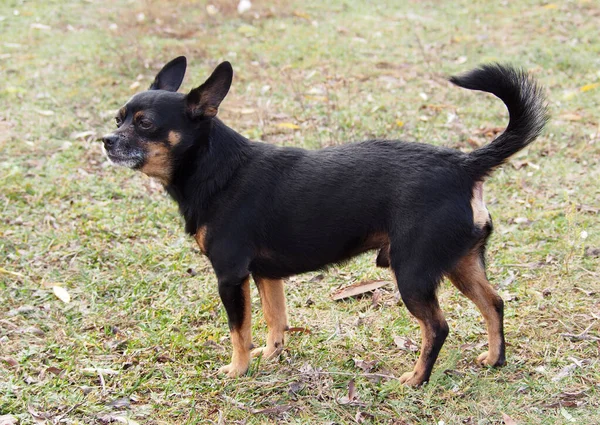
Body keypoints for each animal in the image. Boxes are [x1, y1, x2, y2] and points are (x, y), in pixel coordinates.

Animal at [103, 58, 548, 386]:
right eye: (118, 119)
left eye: (144, 123)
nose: (105, 141)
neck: (215, 168)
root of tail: (463, 164)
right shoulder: (266, 275)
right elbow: (275, 320)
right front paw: (271, 357)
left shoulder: (230, 277)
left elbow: (239, 330)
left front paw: (237, 370)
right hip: (461, 262)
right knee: (494, 303)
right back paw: (494, 359)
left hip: (412, 272)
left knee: (437, 327)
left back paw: (417, 379)